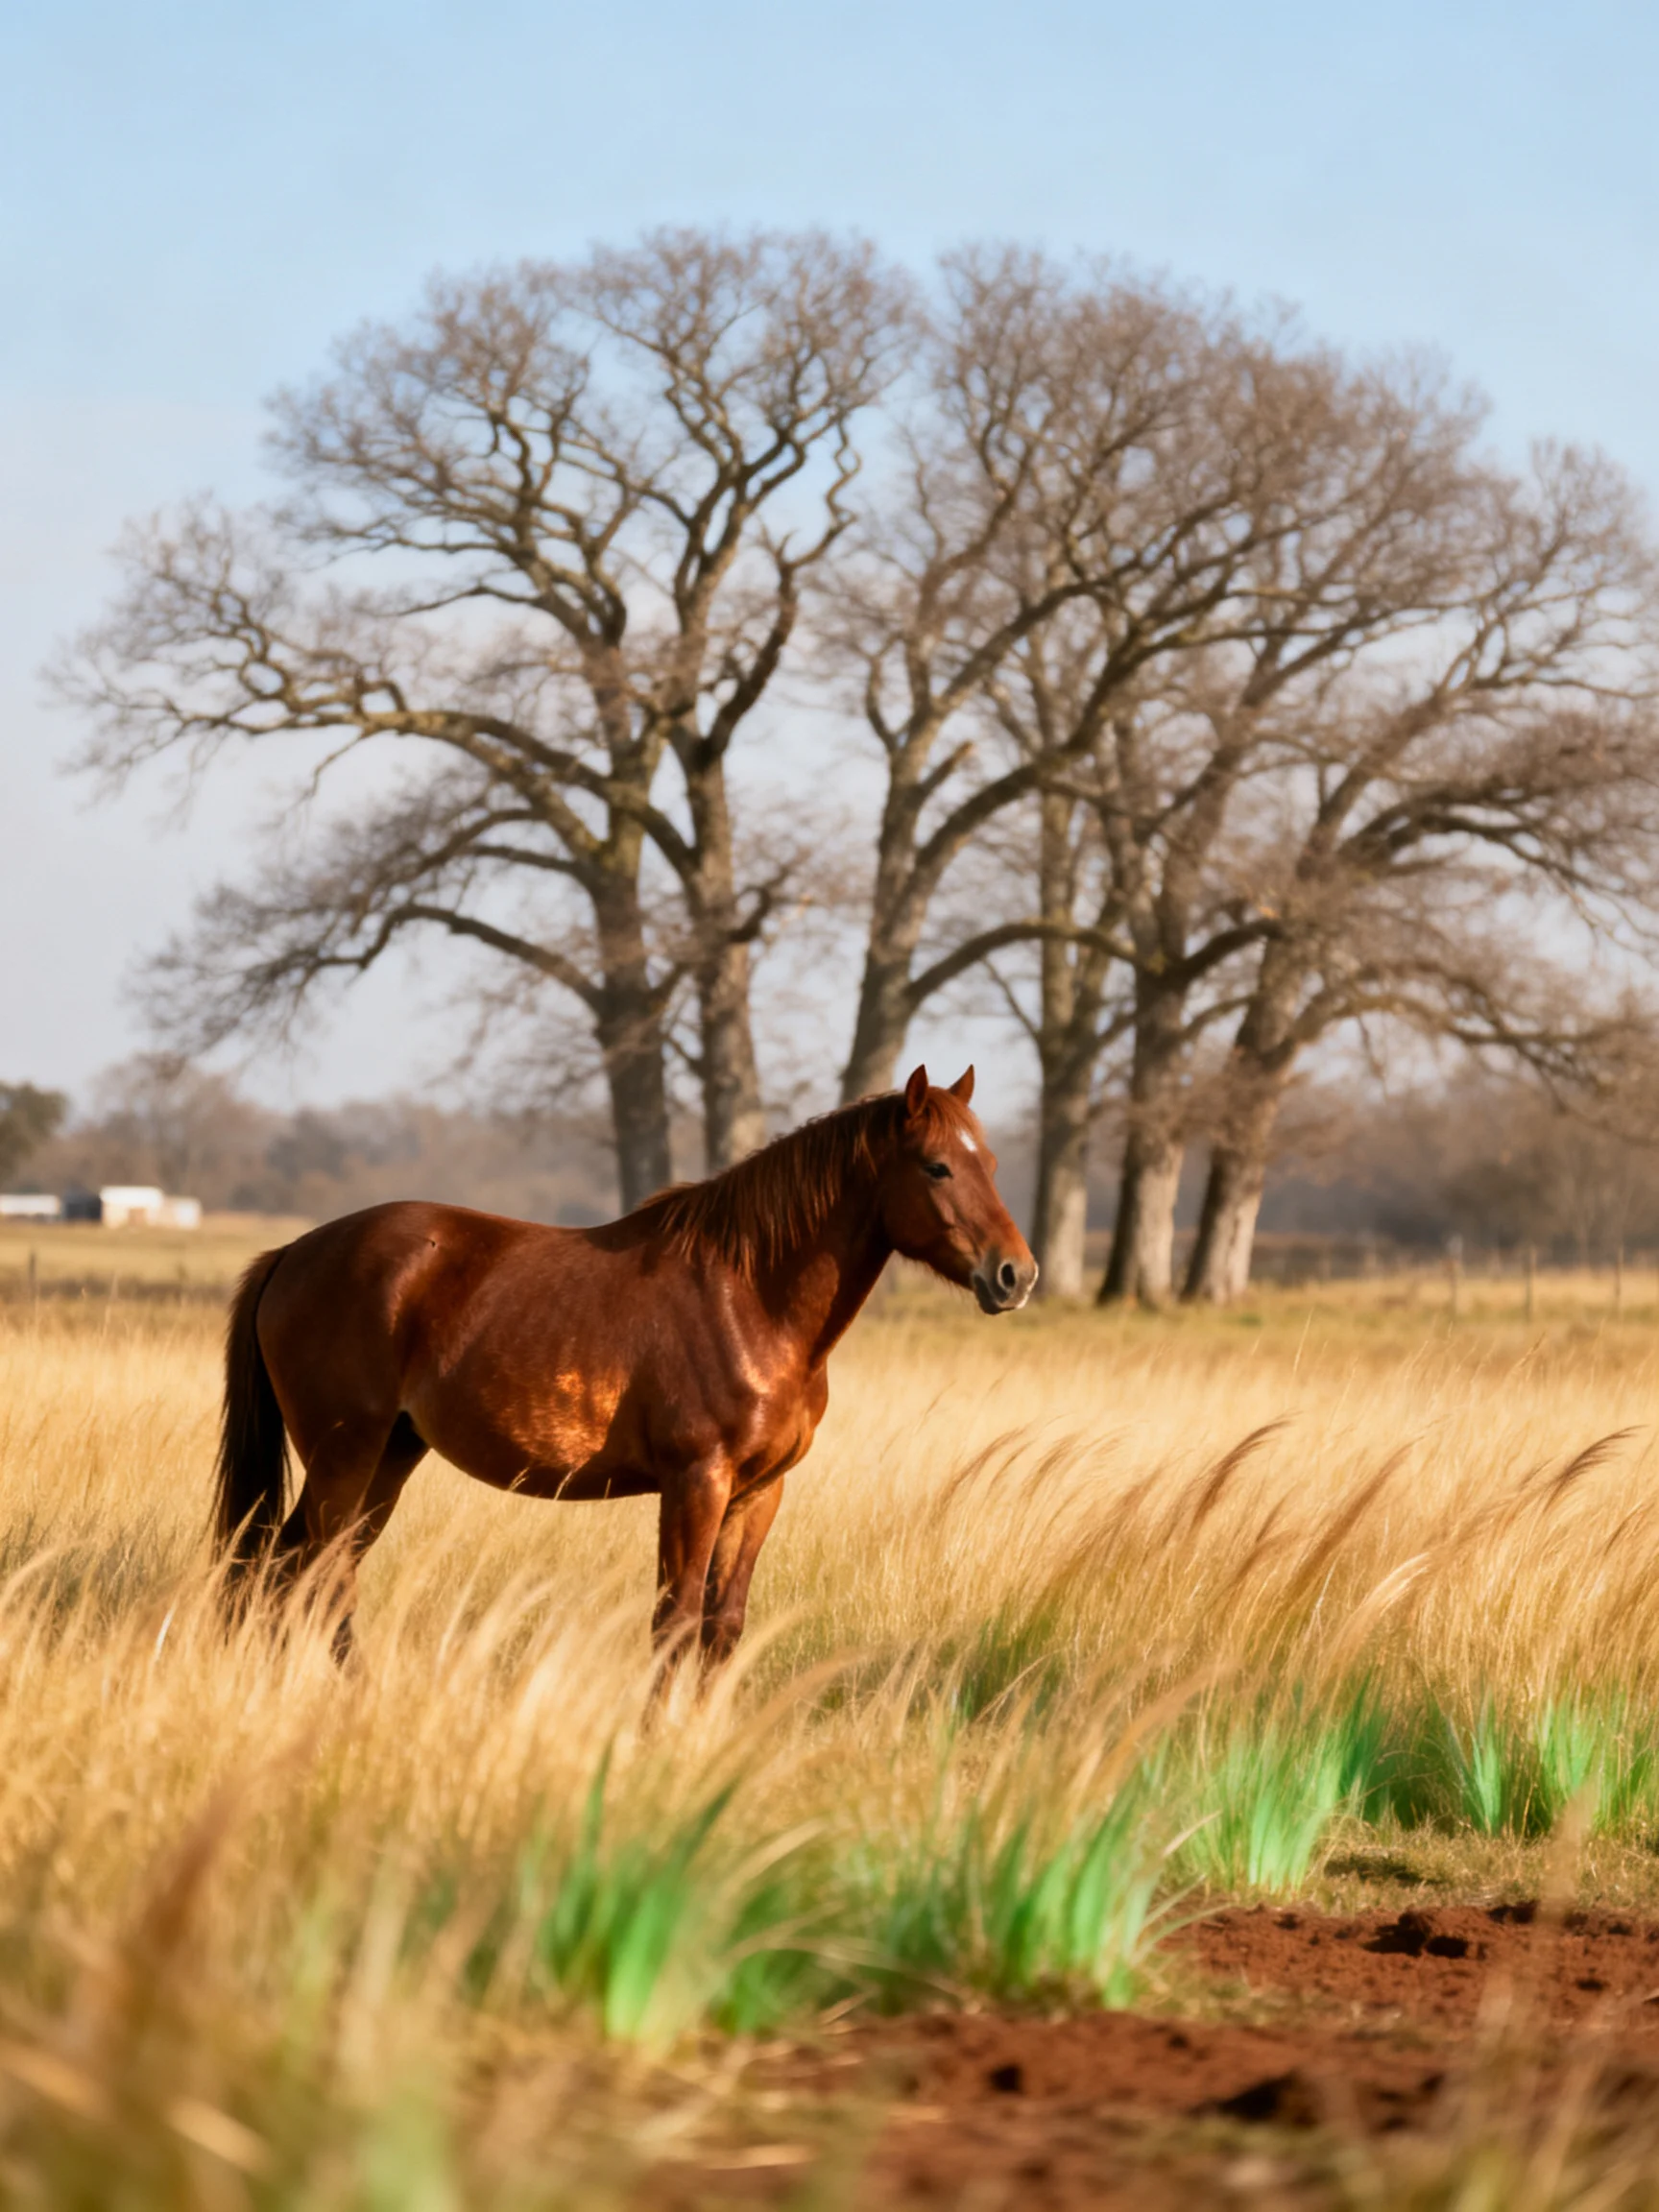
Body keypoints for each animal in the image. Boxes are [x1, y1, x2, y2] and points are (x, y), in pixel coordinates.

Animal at [212, 1064, 1037, 1674]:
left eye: (993, 1164)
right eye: (937, 1167)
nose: (1015, 1275)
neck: (749, 1296)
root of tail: (294, 1253)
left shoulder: (758, 1493)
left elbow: (722, 1624)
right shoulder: (695, 1482)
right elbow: (674, 1621)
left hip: (389, 1456)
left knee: (304, 1575)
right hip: (345, 1456)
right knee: (305, 1575)